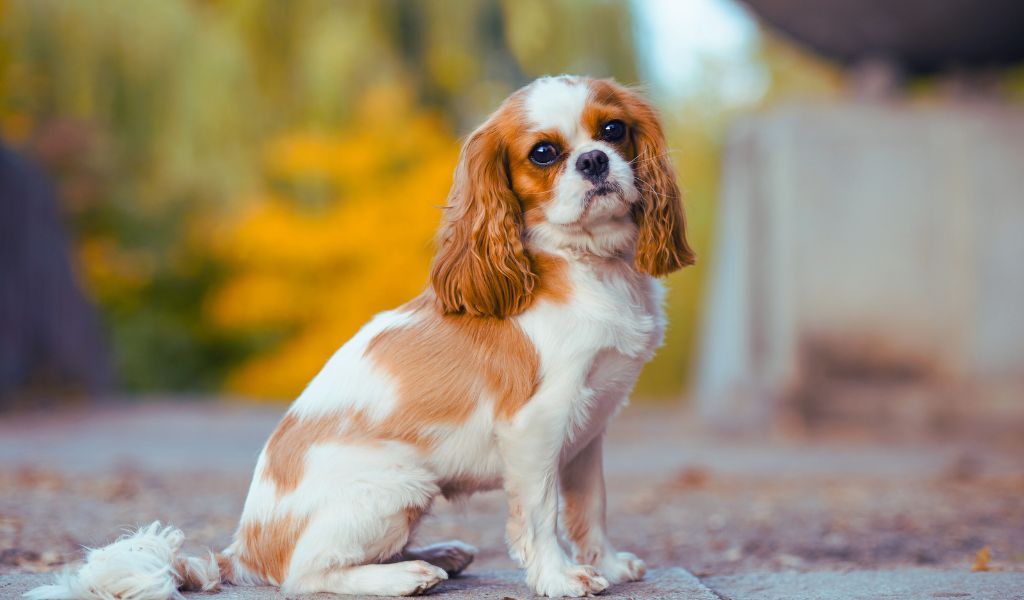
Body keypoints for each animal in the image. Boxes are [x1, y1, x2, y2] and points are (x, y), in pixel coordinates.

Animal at [28, 74, 692, 597]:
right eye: (545, 153)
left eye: (613, 131)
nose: (594, 161)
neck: (589, 266)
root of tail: (241, 551)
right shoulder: (536, 427)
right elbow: (541, 515)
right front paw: (559, 578)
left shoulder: (586, 432)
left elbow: (590, 507)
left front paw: (609, 565)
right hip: (402, 484)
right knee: (307, 574)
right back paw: (403, 576)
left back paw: (439, 555)